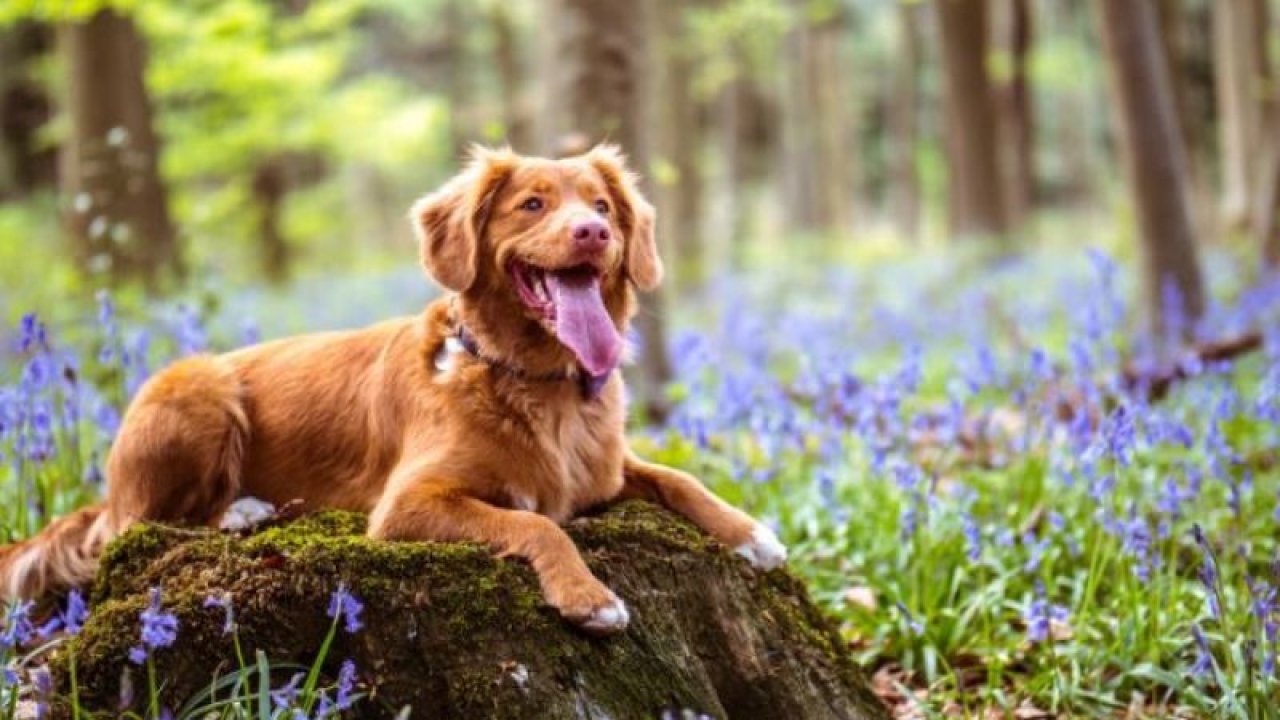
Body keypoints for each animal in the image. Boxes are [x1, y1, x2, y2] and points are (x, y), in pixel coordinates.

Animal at [0, 146, 783, 632]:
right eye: (532, 204)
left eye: (602, 205)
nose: (592, 231)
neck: (535, 383)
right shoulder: (406, 504)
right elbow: (538, 523)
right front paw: (588, 597)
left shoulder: (606, 469)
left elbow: (679, 478)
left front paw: (751, 533)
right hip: (199, 390)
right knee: (136, 526)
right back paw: (239, 511)